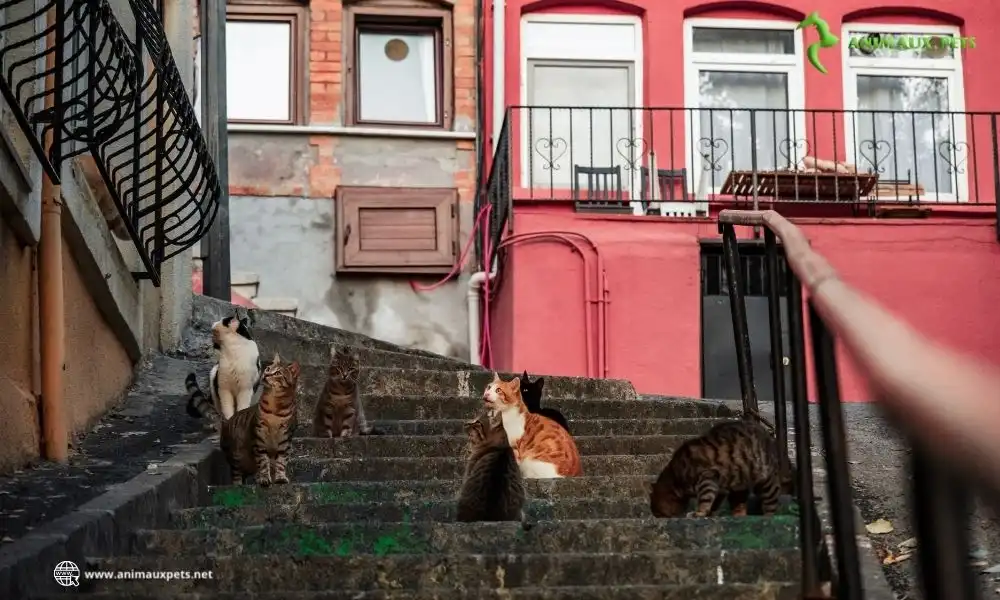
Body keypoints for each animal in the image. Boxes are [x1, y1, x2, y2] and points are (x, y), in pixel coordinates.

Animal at [219, 354, 296, 486]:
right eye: (268, 369)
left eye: (278, 373)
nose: (266, 374)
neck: (275, 409)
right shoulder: (259, 436)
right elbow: (263, 462)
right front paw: (264, 479)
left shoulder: (285, 439)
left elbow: (281, 462)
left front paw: (280, 477)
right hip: (236, 455)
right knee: (236, 475)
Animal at [648, 418, 788, 520]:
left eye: (657, 512)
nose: (655, 517)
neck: (675, 476)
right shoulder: (720, 487)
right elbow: (715, 501)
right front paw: (710, 513)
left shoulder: (707, 477)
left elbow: (705, 498)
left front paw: (699, 513)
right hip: (740, 482)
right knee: (740, 503)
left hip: (765, 479)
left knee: (771, 502)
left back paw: (767, 516)